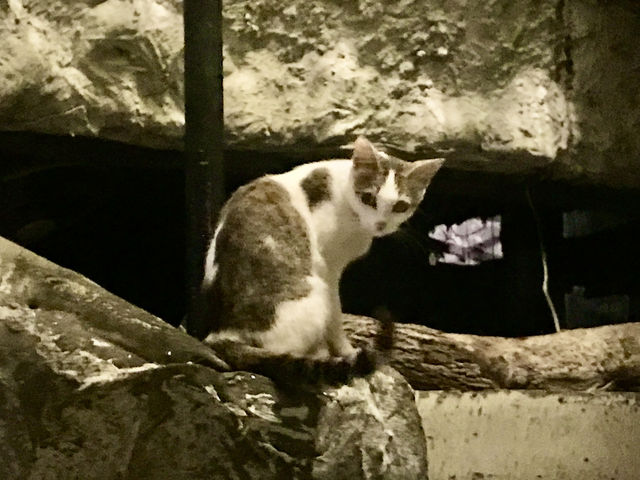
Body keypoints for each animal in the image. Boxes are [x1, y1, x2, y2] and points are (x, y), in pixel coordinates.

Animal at [202, 137, 442, 384]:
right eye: (369, 199)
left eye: (400, 206)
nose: (380, 224)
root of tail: (222, 334)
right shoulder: (330, 268)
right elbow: (336, 319)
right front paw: (346, 351)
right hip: (315, 293)